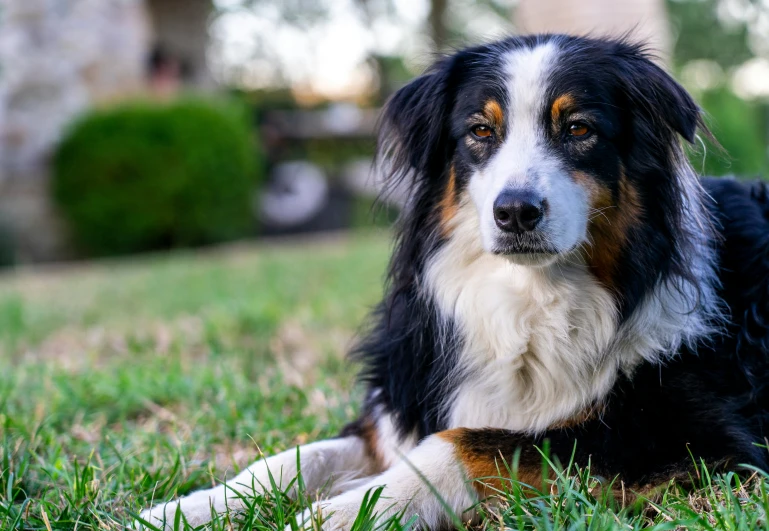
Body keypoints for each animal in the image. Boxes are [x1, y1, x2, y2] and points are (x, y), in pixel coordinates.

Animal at [141, 34, 768, 531]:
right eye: (480, 131)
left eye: (579, 129)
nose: (515, 212)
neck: (529, 300)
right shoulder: (404, 402)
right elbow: (290, 459)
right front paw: (182, 509)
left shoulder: (695, 438)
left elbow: (467, 443)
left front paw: (340, 512)